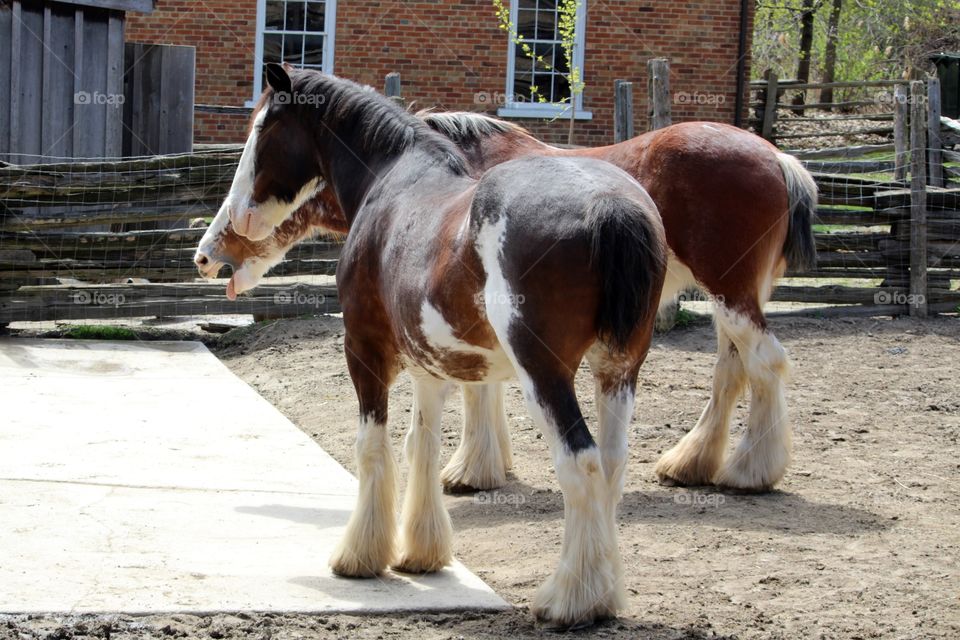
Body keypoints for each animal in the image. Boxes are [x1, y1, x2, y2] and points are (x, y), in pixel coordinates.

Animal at [196, 109, 817, 493]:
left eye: (256, 159)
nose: (206, 254)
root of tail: (780, 161)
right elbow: (483, 387)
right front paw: (481, 466)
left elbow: (477, 393)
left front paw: (471, 469)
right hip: (726, 301)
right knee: (733, 370)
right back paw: (695, 463)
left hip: (731, 295)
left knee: (766, 363)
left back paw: (750, 471)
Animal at [211, 64, 668, 627]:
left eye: (262, 128)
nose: (236, 219)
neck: (391, 177)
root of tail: (609, 205)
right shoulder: (430, 367)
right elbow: (421, 445)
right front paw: (421, 553)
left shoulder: (363, 348)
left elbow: (373, 446)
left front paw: (359, 556)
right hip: (618, 371)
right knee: (611, 464)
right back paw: (603, 595)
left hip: (545, 375)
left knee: (580, 464)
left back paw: (569, 600)